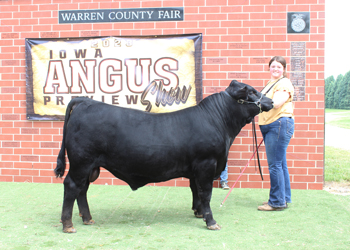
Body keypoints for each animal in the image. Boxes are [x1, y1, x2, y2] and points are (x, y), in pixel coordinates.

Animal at [54, 80, 274, 232]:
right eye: (252, 91)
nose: (271, 101)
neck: (219, 122)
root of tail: (85, 101)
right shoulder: (206, 163)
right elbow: (206, 193)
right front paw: (211, 221)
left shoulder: (195, 169)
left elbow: (196, 191)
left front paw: (199, 213)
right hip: (81, 162)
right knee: (72, 186)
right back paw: (68, 224)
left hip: (90, 166)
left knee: (82, 189)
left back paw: (87, 218)